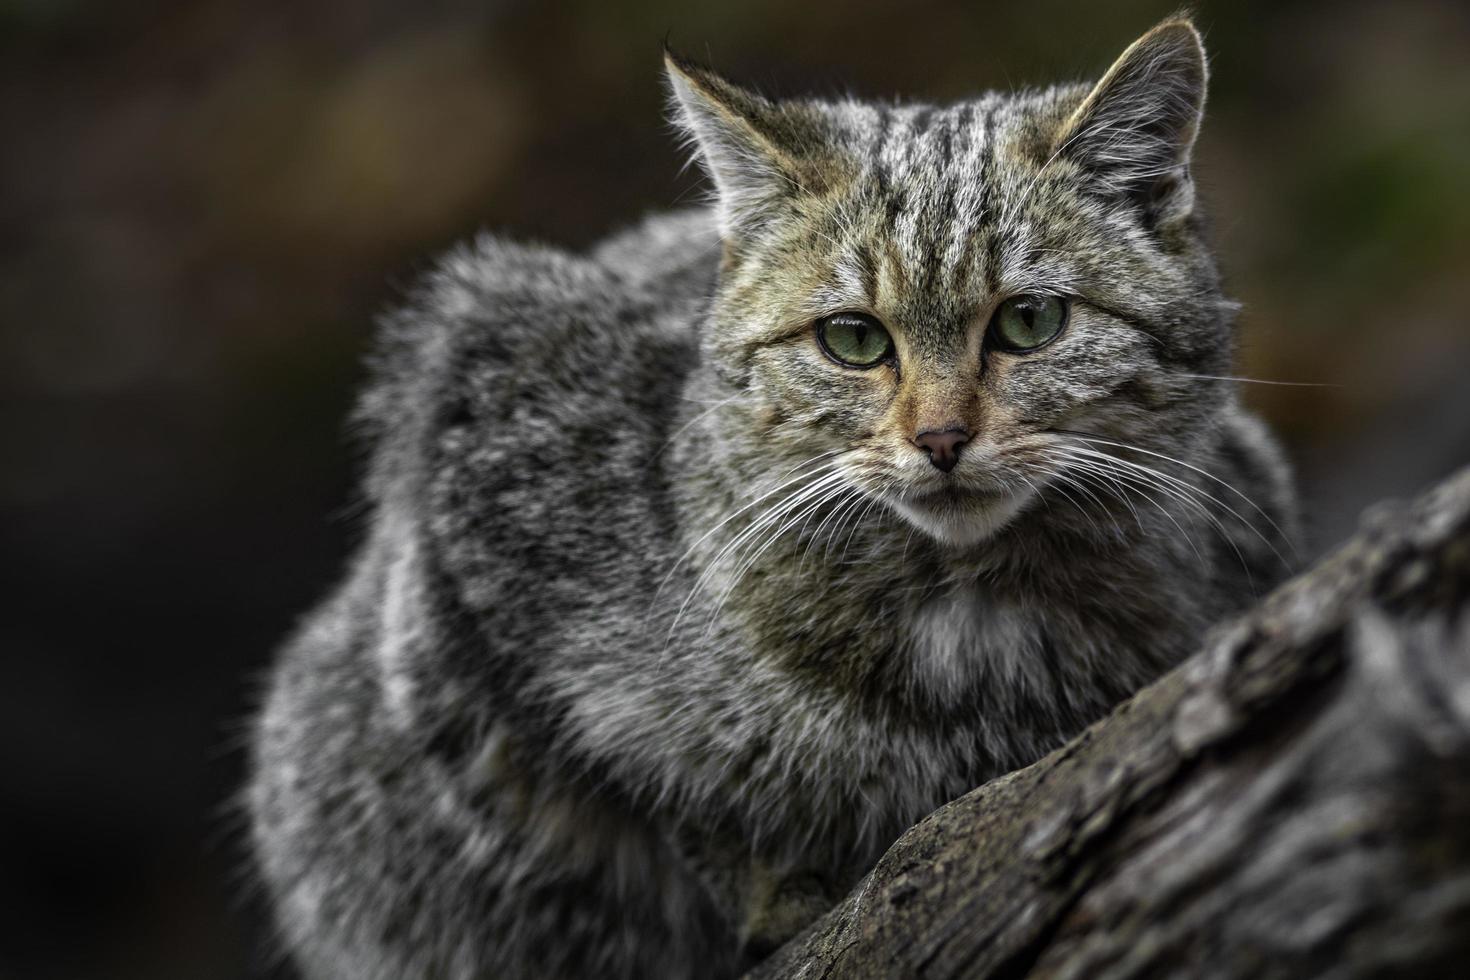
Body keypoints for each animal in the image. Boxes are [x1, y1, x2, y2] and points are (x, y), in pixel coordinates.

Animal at [252, 17, 1299, 980]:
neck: (971, 623)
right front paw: (770, 883)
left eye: (1031, 322)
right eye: (854, 339)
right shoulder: (471, 425)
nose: (941, 439)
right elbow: (658, 786)